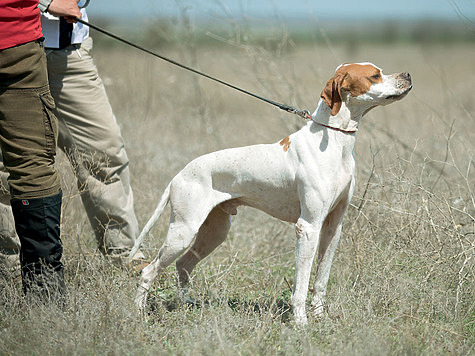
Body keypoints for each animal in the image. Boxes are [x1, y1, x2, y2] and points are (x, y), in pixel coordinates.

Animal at [130, 62, 412, 324]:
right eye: (375, 75)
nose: (408, 75)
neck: (335, 141)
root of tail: (179, 175)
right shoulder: (308, 227)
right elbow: (301, 284)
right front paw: (301, 322)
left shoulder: (333, 227)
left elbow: (321, 279)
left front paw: (319, 317)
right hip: (183, 231)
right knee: (148, 270)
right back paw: (139, 312)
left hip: (214, 232)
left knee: (183, 264)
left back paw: (185, 304)